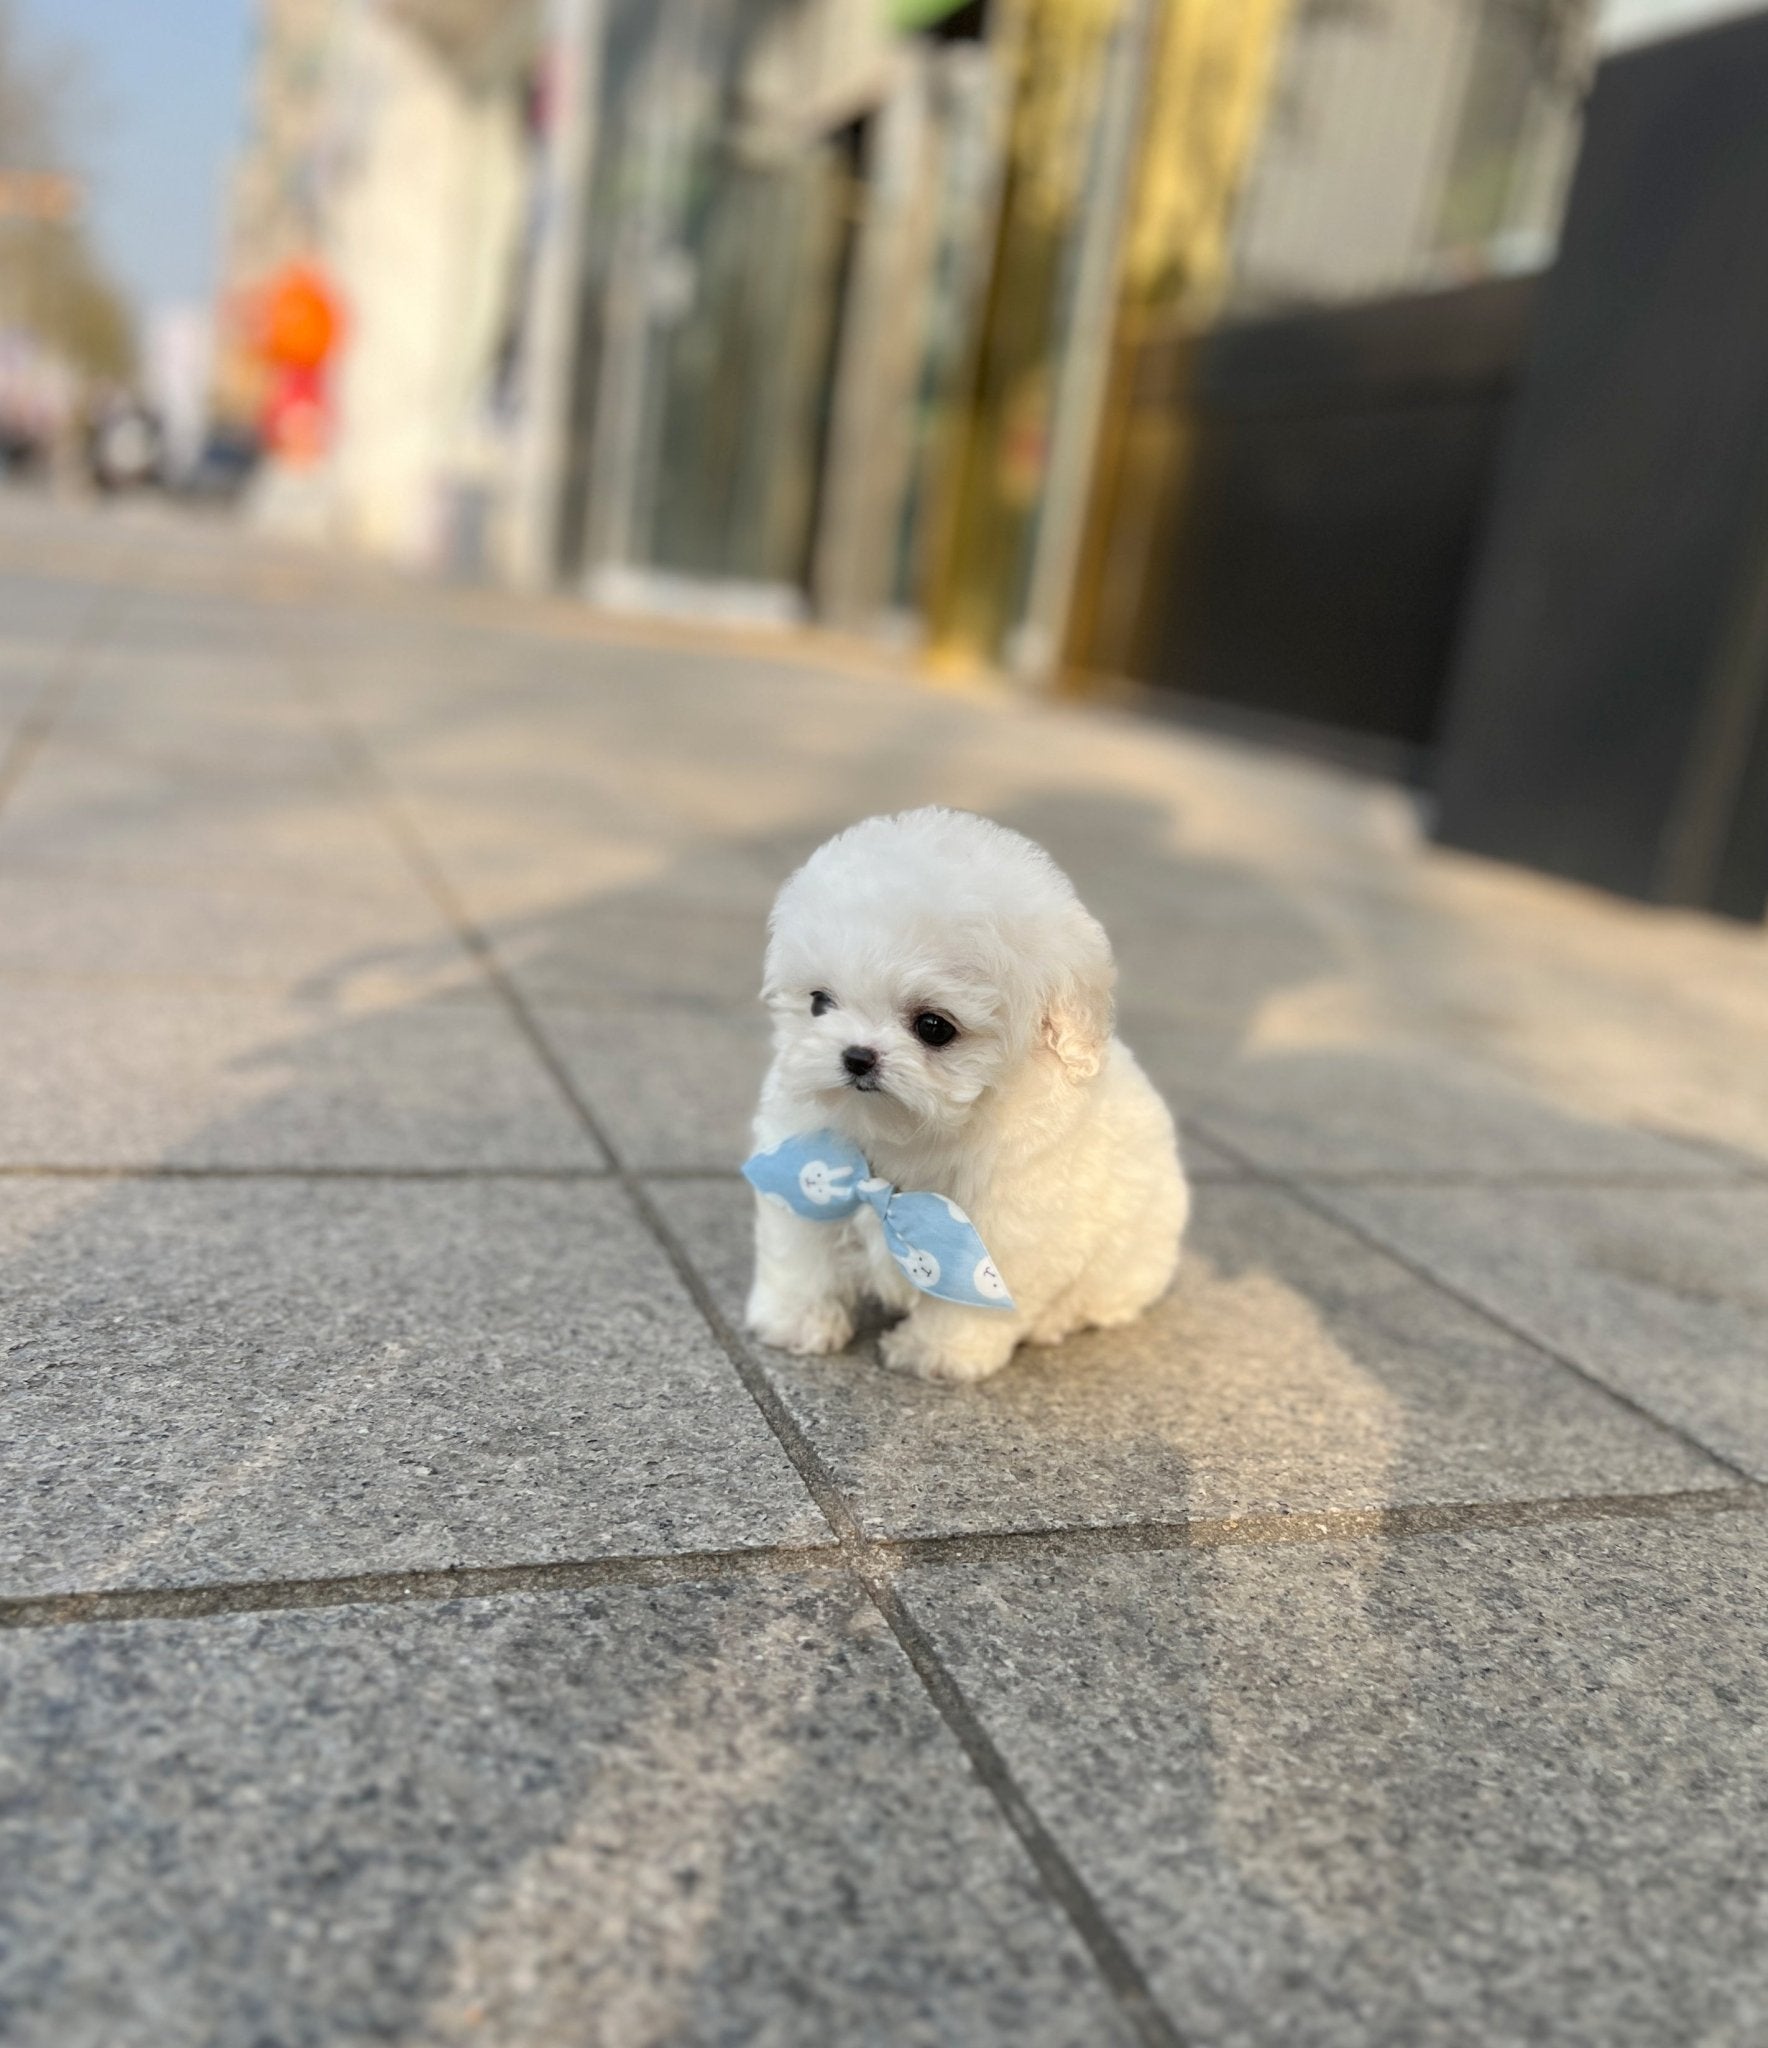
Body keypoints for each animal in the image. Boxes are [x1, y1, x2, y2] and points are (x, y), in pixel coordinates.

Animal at [745, 806, 1188, 1384]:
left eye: (934, 1027)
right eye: (819, 1003)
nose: (857, 1056)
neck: (904, 1136)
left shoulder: (1002, 1234)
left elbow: (967, 1304)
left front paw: (936, 1353)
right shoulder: (801, 1168)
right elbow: (802, 1251)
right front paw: (795, 1321)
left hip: (1134, 1259)